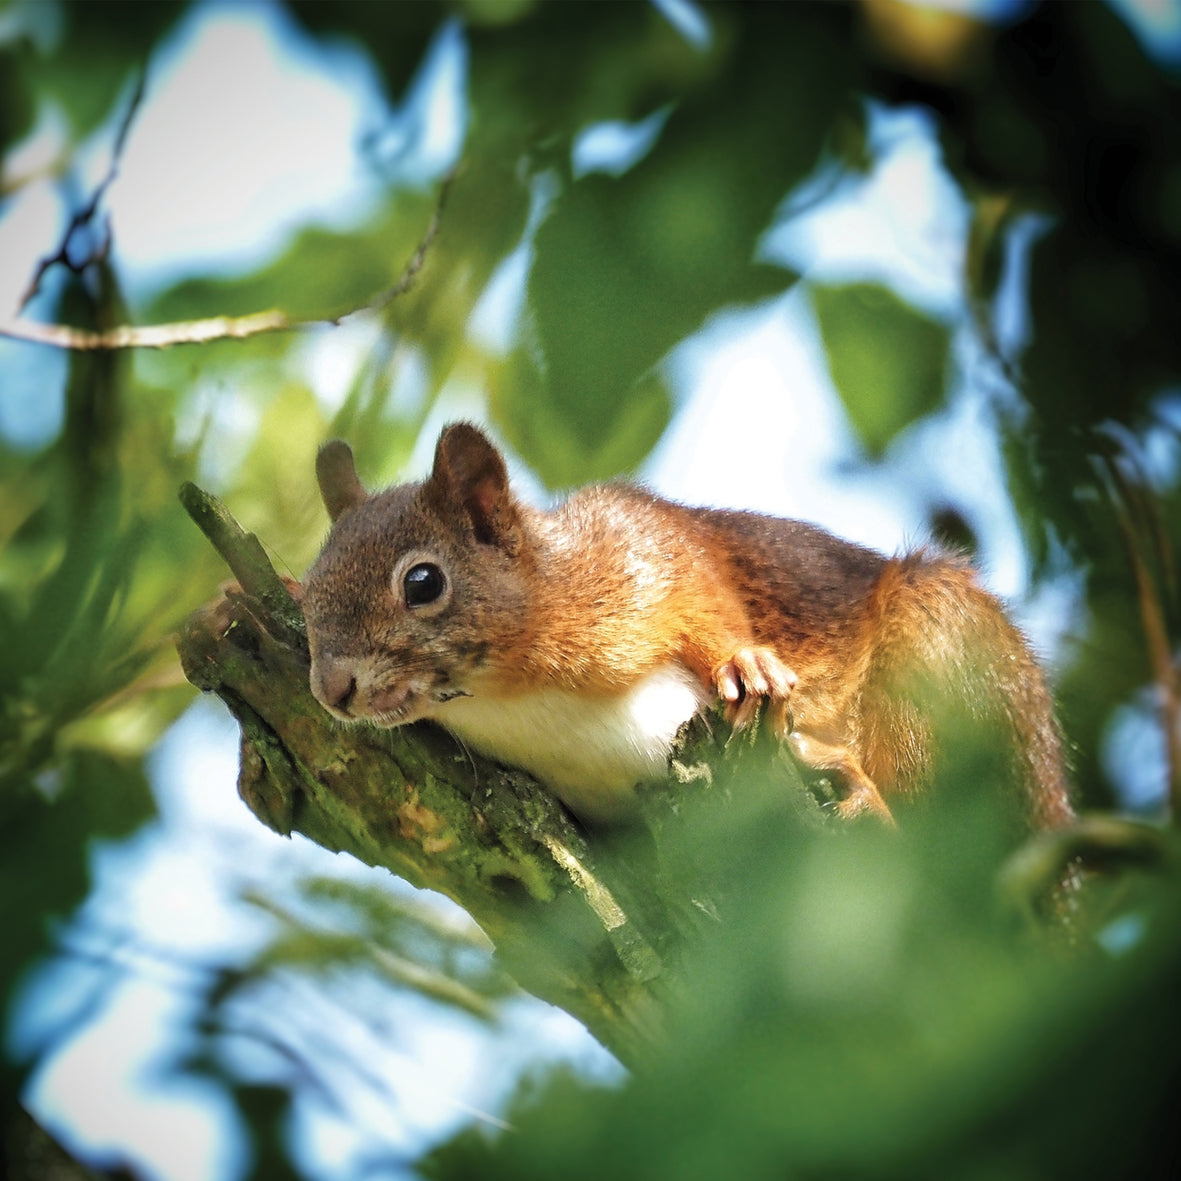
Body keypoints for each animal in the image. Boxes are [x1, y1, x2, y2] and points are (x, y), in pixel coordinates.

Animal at [301, 422, 1075, 832]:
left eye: (422, 583)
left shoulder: (639, 552)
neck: (511, 702)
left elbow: (705, 594)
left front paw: (747, 666)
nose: (331, 687)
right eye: (308, 591)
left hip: (942, 654)